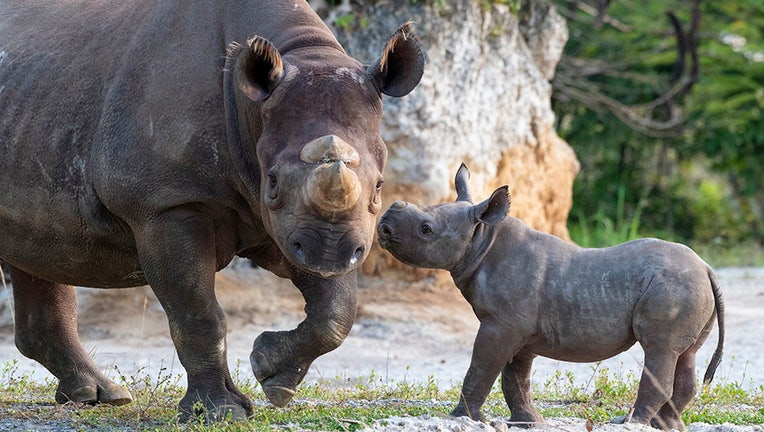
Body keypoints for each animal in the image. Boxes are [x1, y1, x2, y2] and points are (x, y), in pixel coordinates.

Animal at [0, 0, 424, 420]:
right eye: (272, 181)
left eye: (379, 187)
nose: (330, 254)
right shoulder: (166, 202)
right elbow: (198, 314)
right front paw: (219, 412)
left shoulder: (299, 225)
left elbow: (337, 309)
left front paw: (271, 374)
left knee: (38, 251)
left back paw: (99, 396)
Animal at [380, 165, 724, 428]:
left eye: (426, 229)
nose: (383, 225)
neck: (481, 239)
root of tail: (707, 267)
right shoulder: (517, 327)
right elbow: (515, 377)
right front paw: (527, 422)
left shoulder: (502, 324)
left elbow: (482, 367)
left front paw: (463, 418)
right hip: (691, 289)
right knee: (685, 355)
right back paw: (665, 425)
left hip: (674, 287)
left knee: (659, 350)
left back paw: (630, 424)